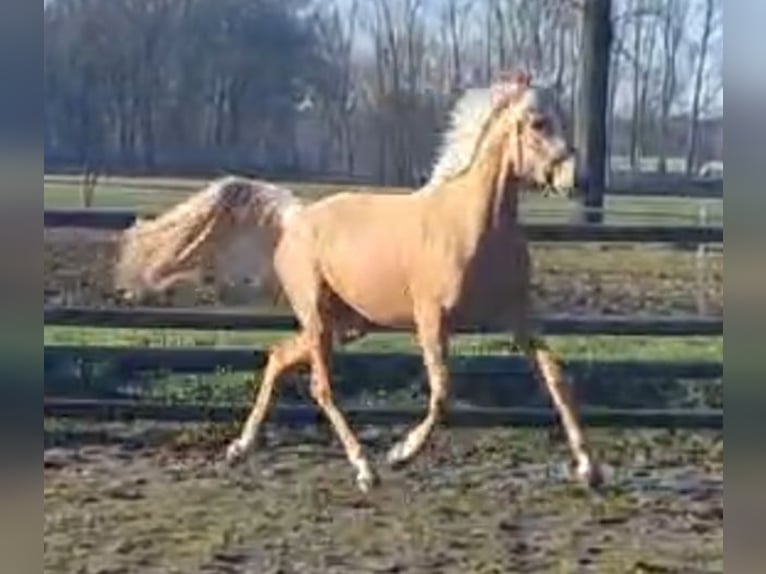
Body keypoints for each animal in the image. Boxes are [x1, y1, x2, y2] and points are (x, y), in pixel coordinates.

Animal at [114, 72, 608, 496]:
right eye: (538, 122)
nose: (578, 180)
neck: (472, 227)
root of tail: (296, 216)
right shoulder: (431, 320)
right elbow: (442, 394)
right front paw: (400, 454)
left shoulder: (518, 316)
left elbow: (556, 379)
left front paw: (590, 469)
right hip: (318, 316)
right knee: (320, 387)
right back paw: (365, 468)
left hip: (345, 324)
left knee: (278, 356)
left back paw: (241, 448)